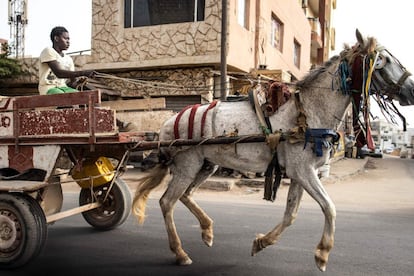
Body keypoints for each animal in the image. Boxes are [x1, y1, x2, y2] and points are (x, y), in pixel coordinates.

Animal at [132, 29, 414, 270]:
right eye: (382, 61)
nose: (411, 89)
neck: (308, 113)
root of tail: (167, 124)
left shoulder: (301, 173)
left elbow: (291, 214)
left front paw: (261, 242)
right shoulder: (303, 171)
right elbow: (329, 207)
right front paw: (322, 254)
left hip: (206, 165)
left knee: (186, 195)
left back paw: (207, 230)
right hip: (187, 165)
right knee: (167, 201)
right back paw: (180, 252)